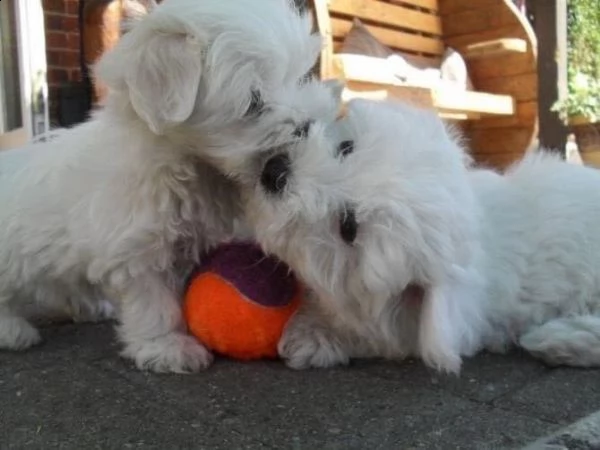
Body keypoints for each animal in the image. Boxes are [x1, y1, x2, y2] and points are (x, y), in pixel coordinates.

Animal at [0, 0, 342, 372]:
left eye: (301, 76)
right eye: (253, 102)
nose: (307, 125)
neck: (190, 164)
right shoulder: (136, 248)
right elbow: (153, 301)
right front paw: (166, 346)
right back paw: (14, 331)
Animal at [241, 100, 600, 374]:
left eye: (348, 227)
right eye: (346, 147)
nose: (275, 171)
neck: (483, 221)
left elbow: (380, 335)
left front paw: (312, 337)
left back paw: (561, 339)